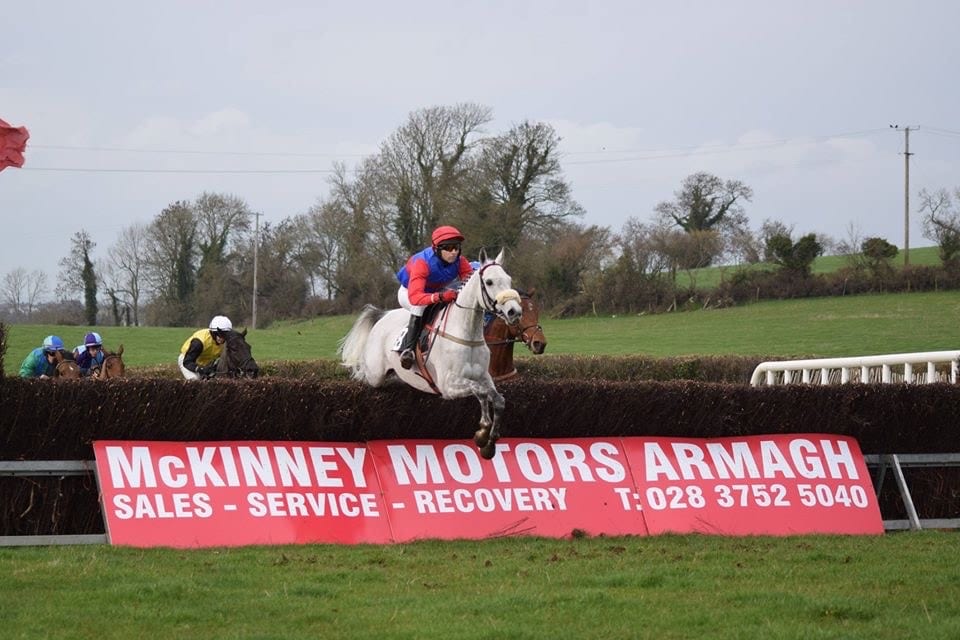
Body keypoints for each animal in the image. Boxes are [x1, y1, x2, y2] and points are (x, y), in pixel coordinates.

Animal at [340, 250, 524, 460]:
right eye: (490, 281)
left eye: (508, 279)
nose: (514, 311)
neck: (466, 333)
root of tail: (382, 315)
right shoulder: (447, 386)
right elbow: (481, 391)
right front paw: (483, 433)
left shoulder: (483, 376)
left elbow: (497, 399)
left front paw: (489, 440)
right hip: (375, 373)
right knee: (365, 374)